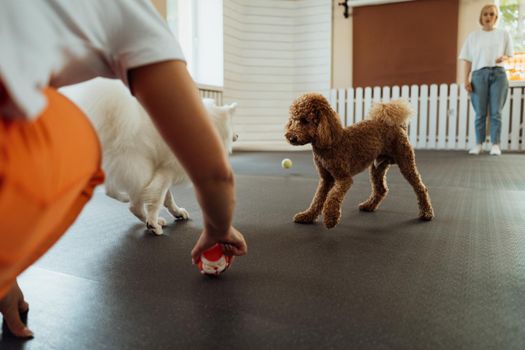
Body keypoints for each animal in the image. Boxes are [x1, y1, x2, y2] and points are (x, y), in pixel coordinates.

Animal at [59, 78, 237, 234]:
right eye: (232, 126)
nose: (238, 135)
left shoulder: (162, 169)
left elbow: (166, 197)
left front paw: (176, 212)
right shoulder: (167, 170)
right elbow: (158, 197)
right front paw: (152, 222)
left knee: (112, 191)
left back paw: (126, 199)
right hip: (139, 167)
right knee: (134, 205)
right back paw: (153, 223)